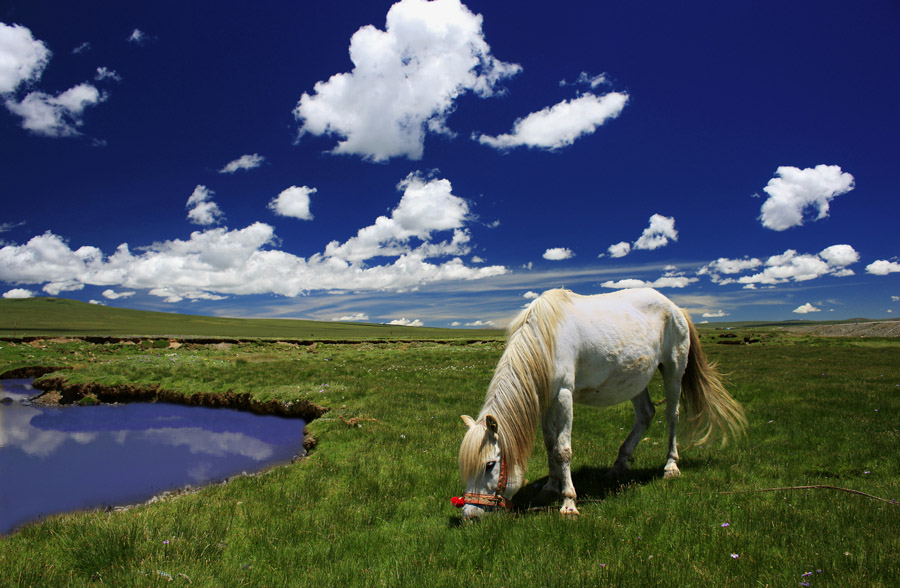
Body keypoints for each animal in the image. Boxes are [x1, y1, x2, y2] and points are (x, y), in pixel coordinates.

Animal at [458, 290, 744, 520]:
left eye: (490, 465)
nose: (470, 514)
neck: (545, 339)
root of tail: (676, 308)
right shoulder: (546, 400)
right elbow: (550, 444)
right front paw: (551, 487)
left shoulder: (563, 395)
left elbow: (563, 449)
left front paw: (569, 503)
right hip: (635, 378)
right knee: (645, 415)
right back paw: (618, 466)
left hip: (673, 369)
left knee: (672, 415)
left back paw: (671, 466)